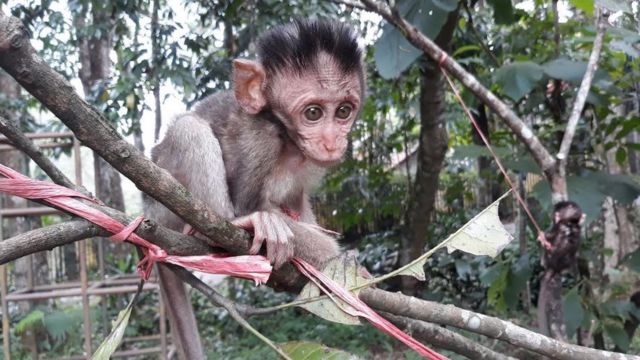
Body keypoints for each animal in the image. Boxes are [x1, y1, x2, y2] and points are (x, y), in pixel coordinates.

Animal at [145, 19, 364, 358]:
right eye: (313, 113)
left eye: (343, 111)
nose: (333, 142)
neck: (289, 143)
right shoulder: (258, 136)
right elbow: (248, 204)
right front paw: (337, 258)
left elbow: (297, 204)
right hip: (162, 204)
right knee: (188, 129)